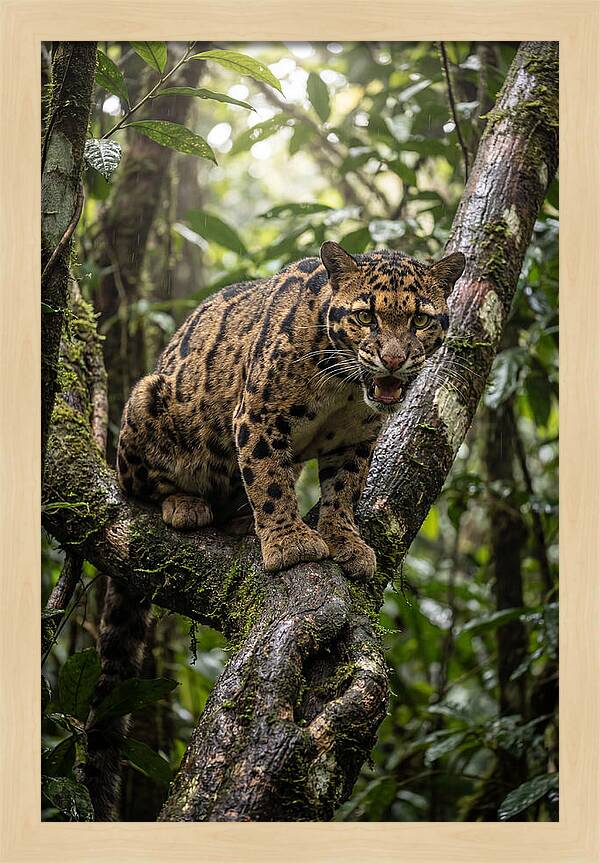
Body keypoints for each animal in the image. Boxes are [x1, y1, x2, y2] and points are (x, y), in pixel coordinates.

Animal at [117, 241, 465, 580]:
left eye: (420, 320)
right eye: (365, 317)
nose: (393, 360)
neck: (344, 387)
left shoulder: (356, 438)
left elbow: (344, 489)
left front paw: (345, 539)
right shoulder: (259, 416)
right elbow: (269, 480)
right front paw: (290, 542)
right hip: (147, 396)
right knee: (140, 486)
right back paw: (186, 504)